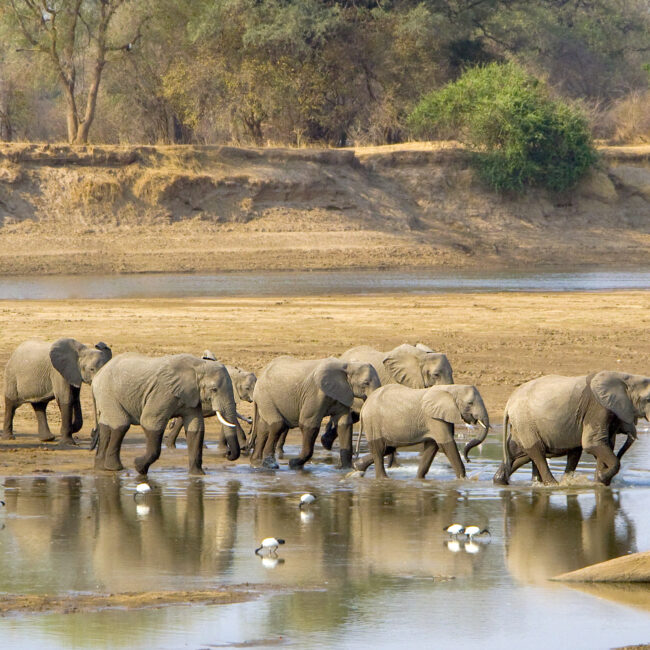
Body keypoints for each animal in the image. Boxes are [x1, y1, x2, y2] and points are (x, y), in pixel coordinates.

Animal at [92, 352, 242, 474]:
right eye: (214, 389)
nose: (228, 453)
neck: (199, 365)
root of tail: (98, 375)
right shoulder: (163, 391)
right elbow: (150, 422)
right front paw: (138, 467)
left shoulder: (192, 396)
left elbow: (196, 428)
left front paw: (198, 475)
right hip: (107, 391)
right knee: (121, 424)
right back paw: (115, 468)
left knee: (106, 424)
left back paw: (101, 467)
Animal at [249, 356, 380, 468]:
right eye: (366, 383)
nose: (357, 458)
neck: (348, 365)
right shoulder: (316, 393)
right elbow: (308, 424)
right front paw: (294, 464)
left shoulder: (342, 393)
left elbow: (344, 424)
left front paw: (346, 468)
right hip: (265, 396)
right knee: (278, 425)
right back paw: (270, 465)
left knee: (264, 427)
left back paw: (255, 462)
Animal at [354, 382, 486, 478]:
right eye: (470, 403)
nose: (468, 460)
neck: (451, 388)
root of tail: (365, 405)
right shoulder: (433, 418)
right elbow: (446, 444)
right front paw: (464, 480)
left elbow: (432, 446)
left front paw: (419, 479)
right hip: (372, 421)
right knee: (379, 449)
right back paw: (383, 478)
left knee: (388, 448)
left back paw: (357, 466)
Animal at [492, 370, 648, 486]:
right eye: (648, 400)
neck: (625, 377)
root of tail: (509, 403)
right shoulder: (598, 408)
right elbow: (592, 444)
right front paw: (601, 480)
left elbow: (604, 444)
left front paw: (599, 481)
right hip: (524, 421)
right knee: (536, 451)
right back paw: (553, 485)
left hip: (522, 424)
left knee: (520, 452)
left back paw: (502, 480)